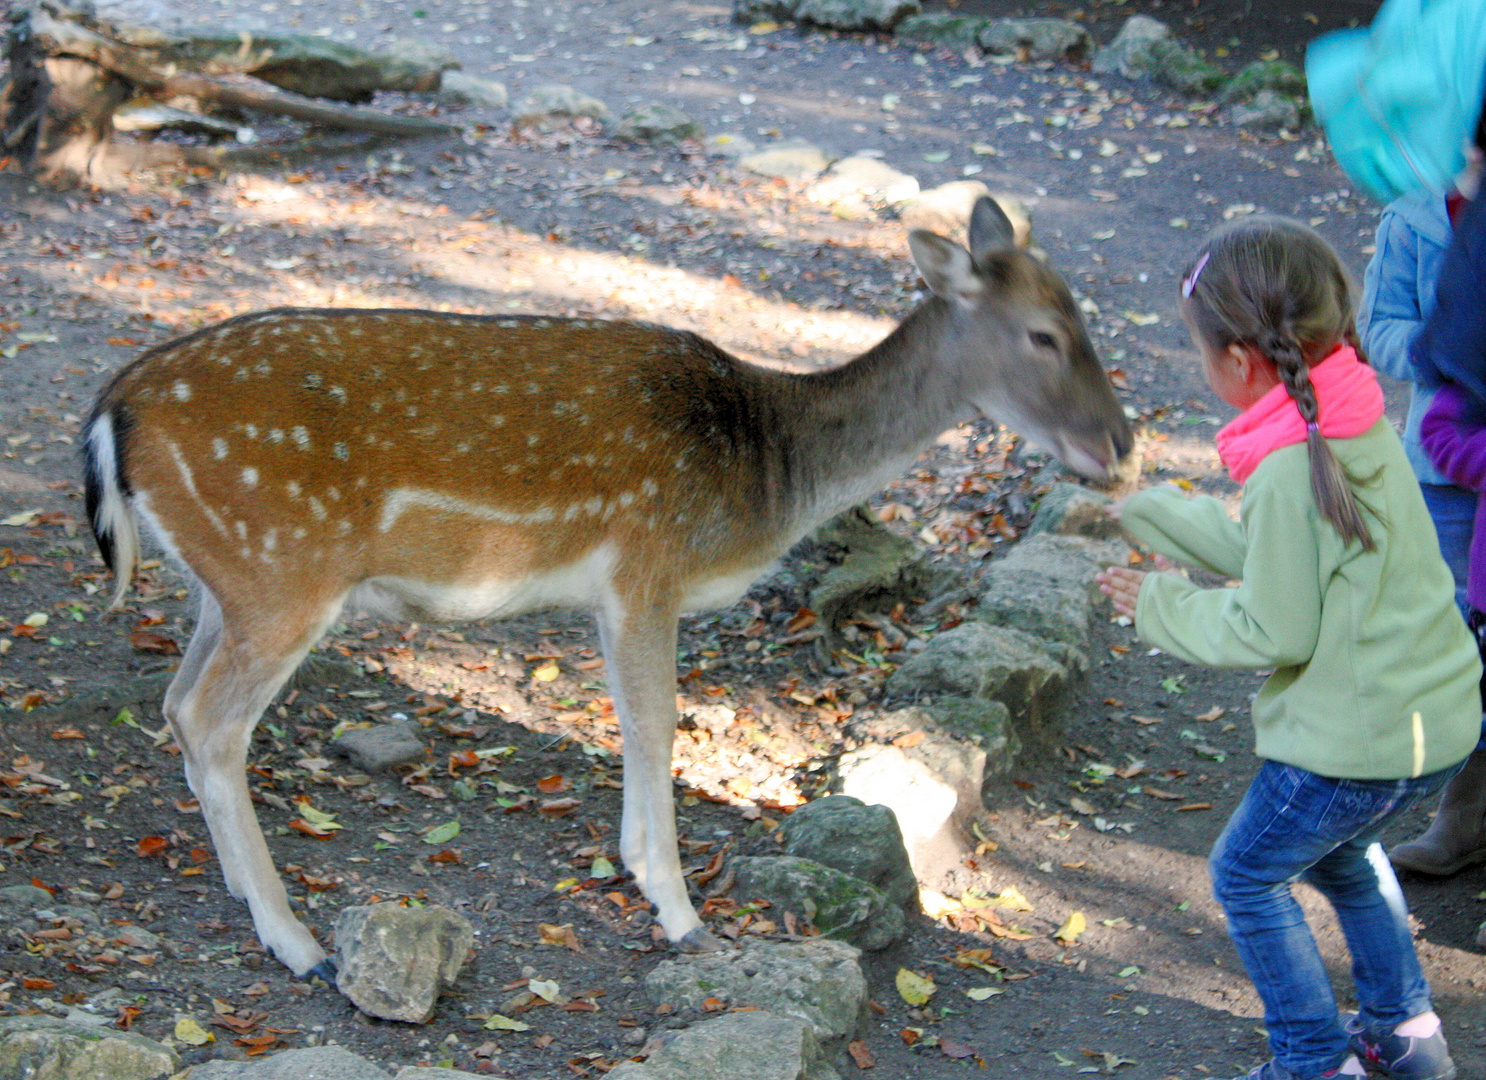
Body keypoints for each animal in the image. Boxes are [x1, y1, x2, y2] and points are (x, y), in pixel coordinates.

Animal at [86, 194, 1129, 980]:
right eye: (1044, 334)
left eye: (1082, 315)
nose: (1121, 443)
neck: (765, 468)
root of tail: (111, 409)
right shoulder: (645, 565)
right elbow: (656, 721)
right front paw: (681, 913)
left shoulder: (613, 592)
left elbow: (631, 720)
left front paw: (644, 876)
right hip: (284, 572)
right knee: (212, 720)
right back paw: (297, 941)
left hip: (229, 581)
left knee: (177, 703)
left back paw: (240, 886)